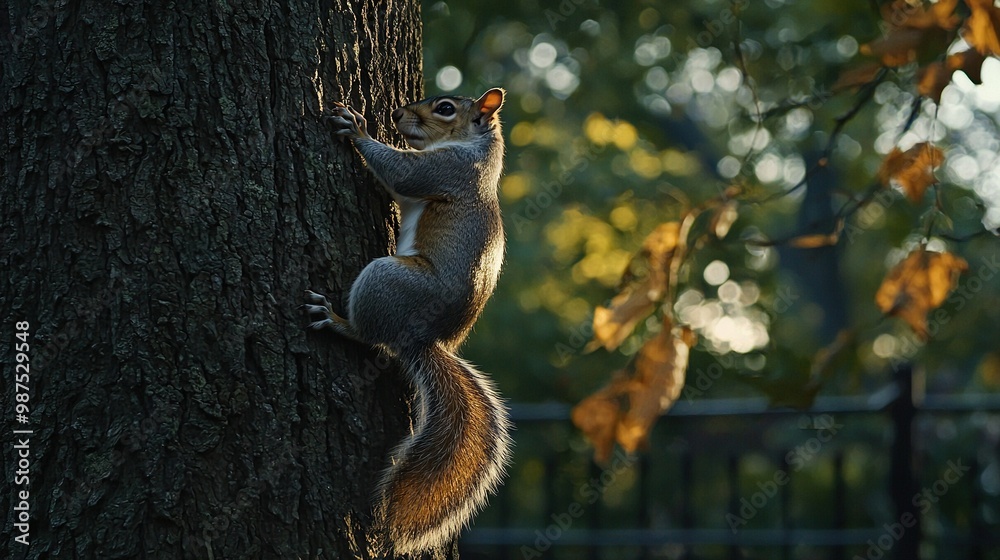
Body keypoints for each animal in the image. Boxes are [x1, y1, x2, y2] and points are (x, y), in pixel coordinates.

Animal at [300, 88, 512, 556]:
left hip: (385, 280)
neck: (476, 153)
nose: (396, 114)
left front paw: (357, 128)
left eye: (445, 108)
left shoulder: (443, 171)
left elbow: (401, 173)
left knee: (369, 336)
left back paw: (337, 320)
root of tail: (422, 339)